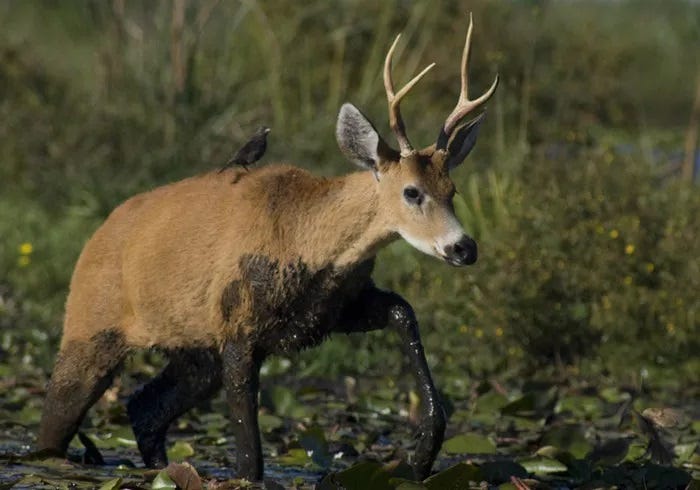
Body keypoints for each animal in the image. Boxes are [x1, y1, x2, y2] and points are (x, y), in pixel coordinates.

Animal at [37, 15, 498, 481]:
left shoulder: (330, 311)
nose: (464, 248)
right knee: (55, 422)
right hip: (90, 326)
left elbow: (404, 311)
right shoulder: (239, 327)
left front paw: (421, 456)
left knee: (143, 408)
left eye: (452, 190)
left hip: (192, 350)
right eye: (411, 191)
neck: (306, 239)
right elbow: (250, 459)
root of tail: (96, 236)